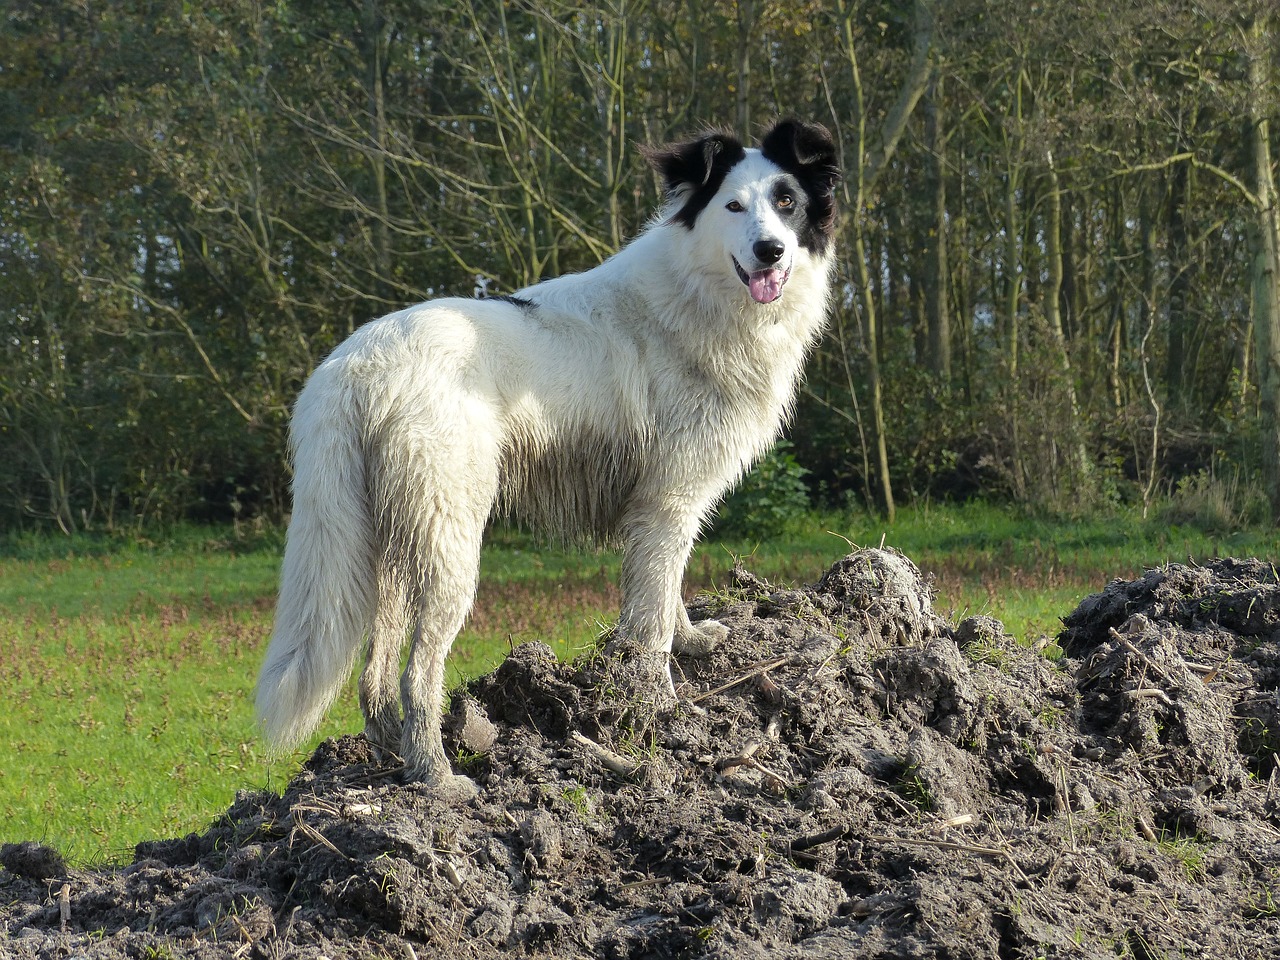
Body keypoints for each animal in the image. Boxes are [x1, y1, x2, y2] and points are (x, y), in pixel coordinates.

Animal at [257, 120, 839, 798]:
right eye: (734, 207)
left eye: (787, 203)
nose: (771, 251)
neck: (701, 289)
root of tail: (353, 365)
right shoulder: (667, 503)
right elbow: (651, 621)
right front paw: (663, 712)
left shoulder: (667, 508)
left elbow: (667, 597)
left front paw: (693, 643)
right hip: (451, 545)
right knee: (418, 672)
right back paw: (438, 779)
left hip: (392, 543)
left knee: (376, 670)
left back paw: (391, 756)